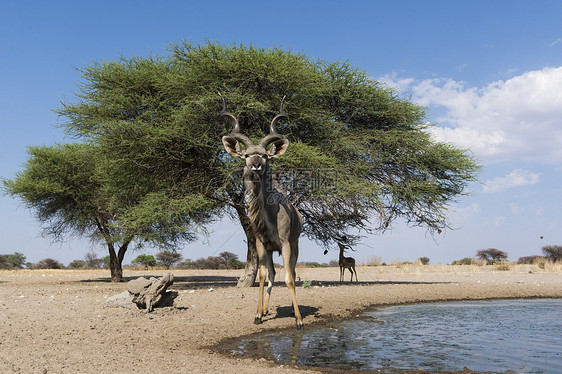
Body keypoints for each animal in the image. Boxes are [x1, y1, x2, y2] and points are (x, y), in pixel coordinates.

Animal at [219, 95, 302, 328]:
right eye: (246, 155)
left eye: (265, 155)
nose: (256, 165)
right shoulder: (261, 244)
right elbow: (264, 277)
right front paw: (257, 314)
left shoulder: (285, 243)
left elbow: (289, 278)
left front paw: (299, 319)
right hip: (271, 251)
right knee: (272, 274)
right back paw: (264, 311)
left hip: (294, 245)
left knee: (291, 272)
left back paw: (292, 311)